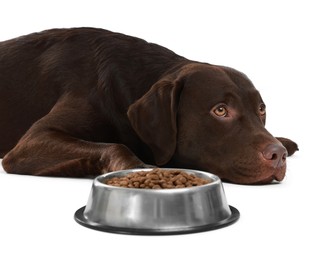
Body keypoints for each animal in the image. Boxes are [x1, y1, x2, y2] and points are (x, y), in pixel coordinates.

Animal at [0, 27, 296, 183]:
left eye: (261, 109)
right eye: (220, 110)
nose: (278, 155)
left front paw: (284, 140)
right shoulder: (32, 142)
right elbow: (116, 146)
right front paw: (138, 167)